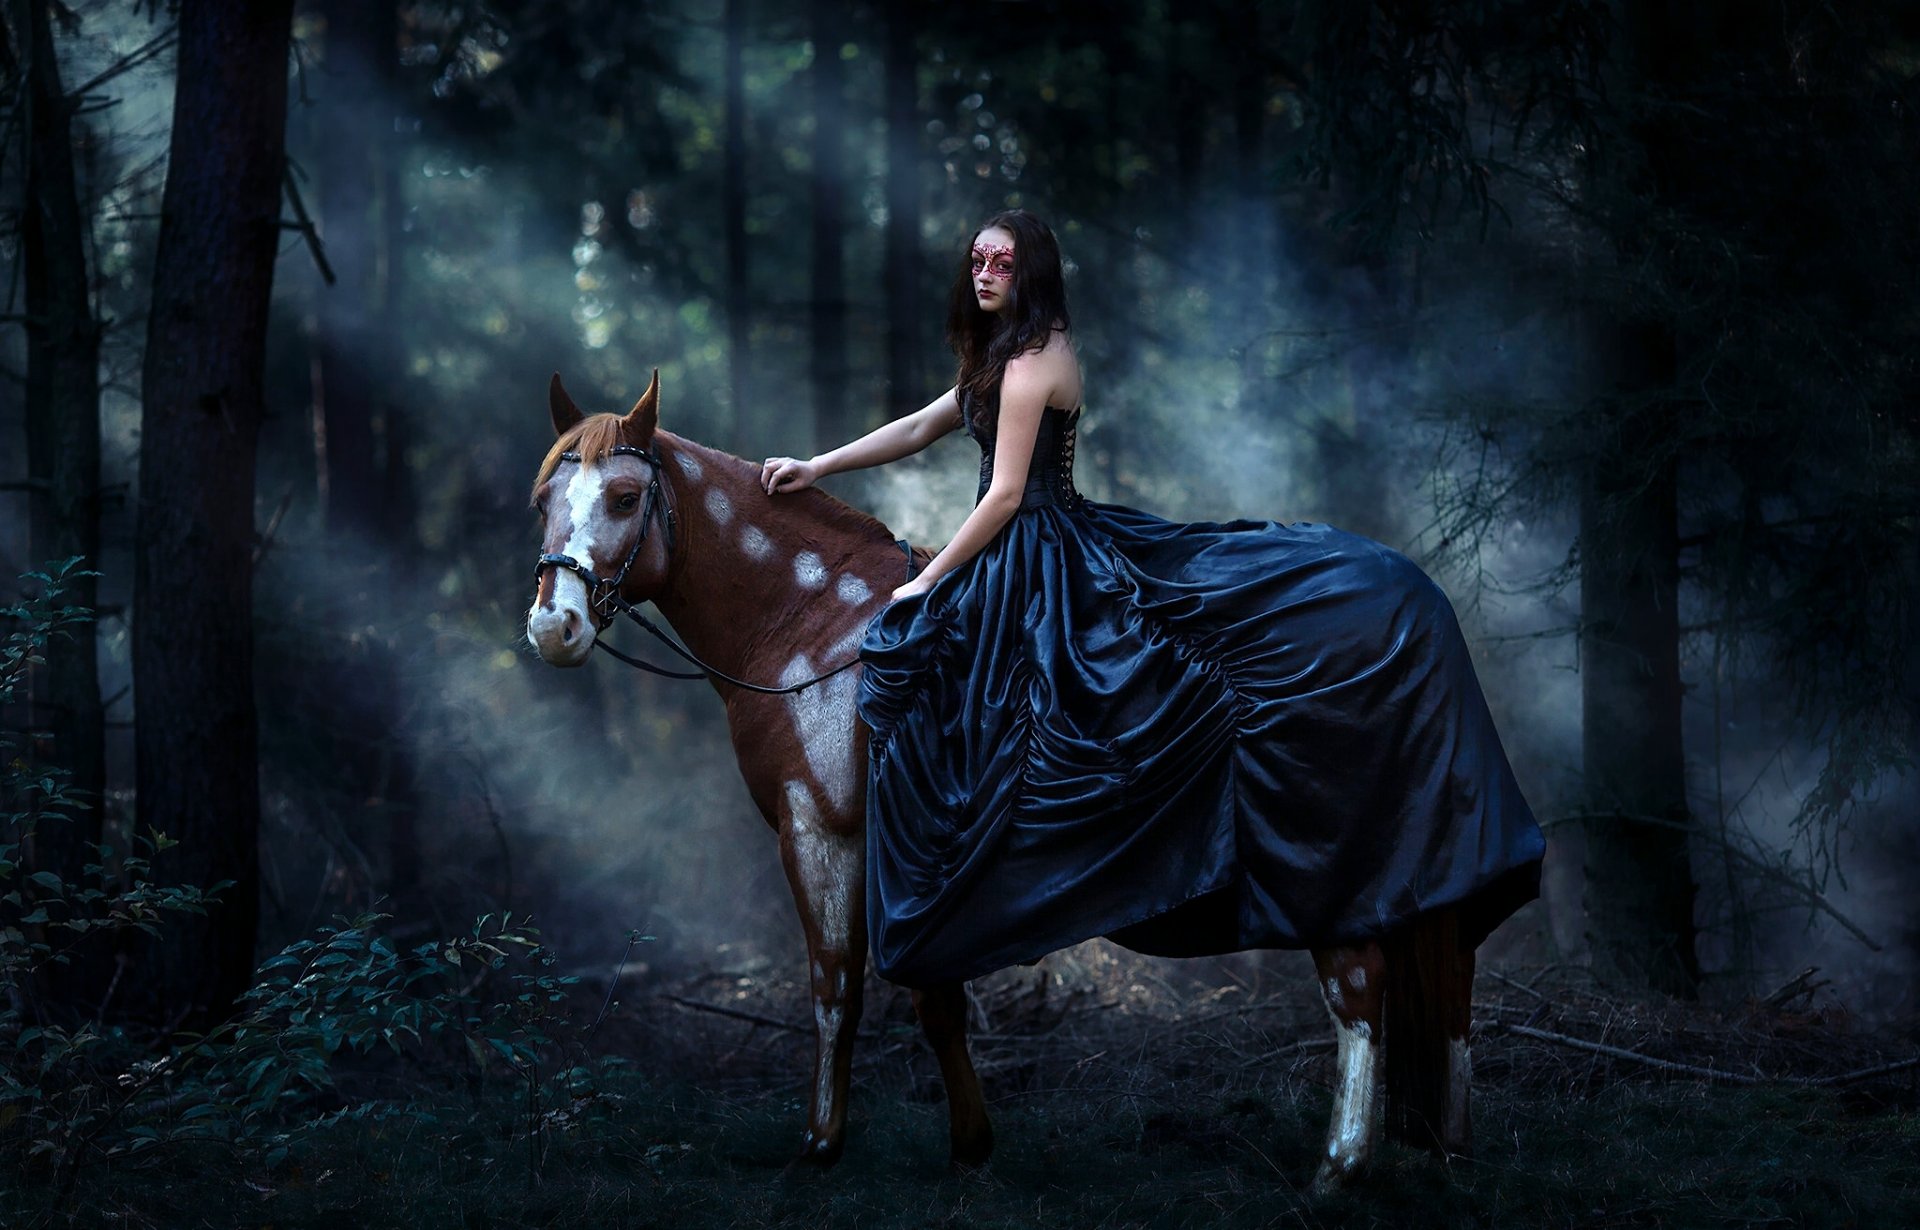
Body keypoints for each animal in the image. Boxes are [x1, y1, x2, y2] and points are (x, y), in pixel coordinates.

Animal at [526, 368, 1482, 1182]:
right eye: (543, 501)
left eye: (624, 497)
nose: (552, 628)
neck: (814, 627)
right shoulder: (910, 857)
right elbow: (936, 998)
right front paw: (971, 1146)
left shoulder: (823, 830)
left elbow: (837, 985)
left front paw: (822, 1144)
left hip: (1329, 856)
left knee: (1357, 982)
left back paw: (1340, 1166)